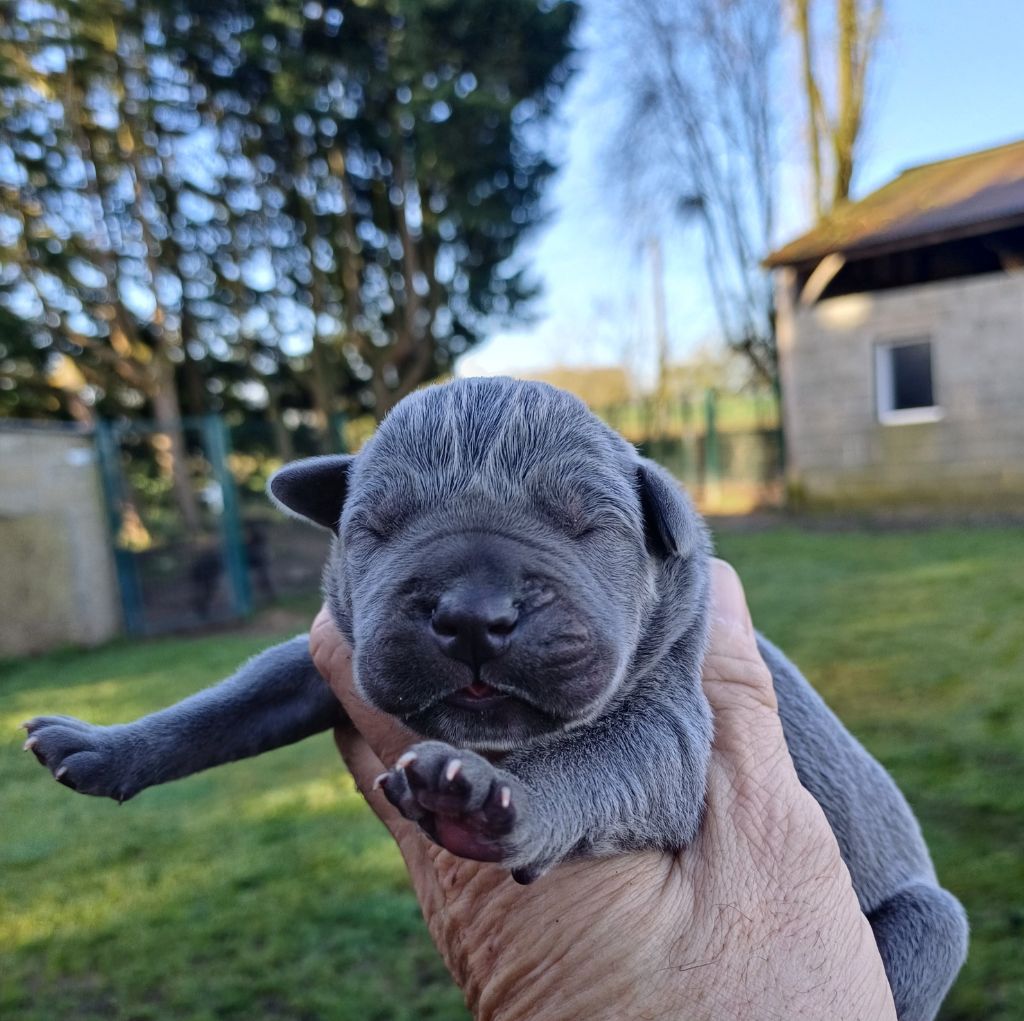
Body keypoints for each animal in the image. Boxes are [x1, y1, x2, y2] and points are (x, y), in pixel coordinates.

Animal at [25, 374, 966, 1019]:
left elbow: (590, 758)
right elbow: (233, 699)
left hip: (930, 921)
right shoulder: (332, 656)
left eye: (589, 525)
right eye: (374, 527)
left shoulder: (670, 723)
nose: (473, 614)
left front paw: (487, 796)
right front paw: (105, 744)